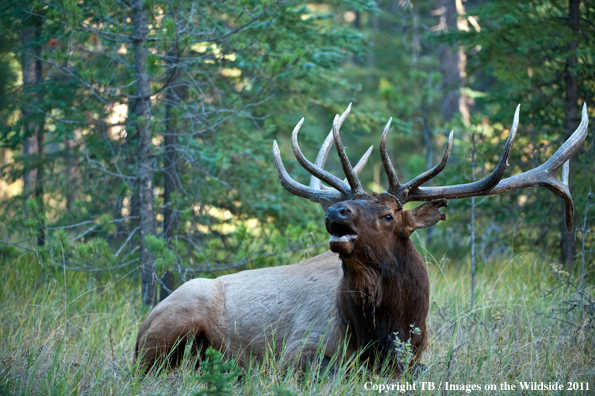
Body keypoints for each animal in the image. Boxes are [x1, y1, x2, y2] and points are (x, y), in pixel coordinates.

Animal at [136, 101, 592, 372]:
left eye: (388, 214)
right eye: (349, 204)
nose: (336, 211)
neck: (384, 330)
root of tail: (141, 326)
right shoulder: (296, 351)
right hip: (174, 322)